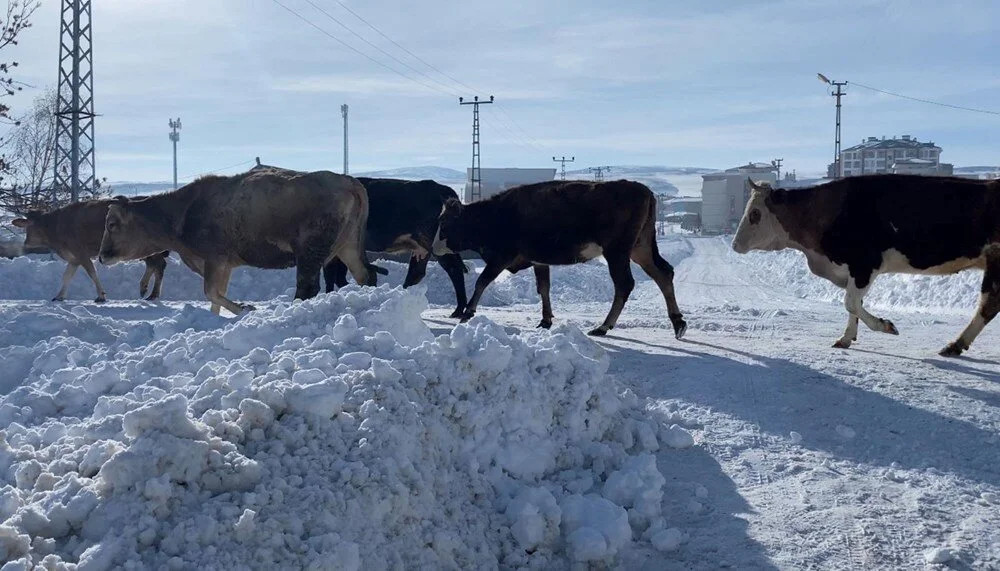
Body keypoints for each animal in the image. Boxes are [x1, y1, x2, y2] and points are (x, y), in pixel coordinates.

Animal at [11, 200, 171, 302]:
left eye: (28, 227)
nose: (26, 242)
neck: (54, 229)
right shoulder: (74, 258)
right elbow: (66, 276)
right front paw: (59, 296)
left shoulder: (80, 252)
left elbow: (92, 273)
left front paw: (101, 296)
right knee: (154, 264)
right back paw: (145, 289)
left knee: (159, 264)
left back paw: (152, 294)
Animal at [97, 168, 374, 316]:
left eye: (111, 224)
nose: (101, 256)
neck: (182, 214)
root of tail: (347, 180)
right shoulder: (225, 264)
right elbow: (216, 296)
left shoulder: (214, 258)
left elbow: (211, 292)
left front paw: (245, 309)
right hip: (348, 244)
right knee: (365, 274)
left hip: (310, 249)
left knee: (307, 287)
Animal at [324, 178, 472, 318]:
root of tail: (441, 188)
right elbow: (338, 276)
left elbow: (331, 275)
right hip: (422, 248)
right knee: (417, 272)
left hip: (437, 244)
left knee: (454, 270)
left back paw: (457, 310)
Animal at [430, 181, 688, 338]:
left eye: (444, 223)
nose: (432, 248)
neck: (494, 215)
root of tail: (642, 190)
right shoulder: (538, 259)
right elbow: (543, 288)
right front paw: (546, 320)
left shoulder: (503, 255)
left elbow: (482, 281)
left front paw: (468, 312)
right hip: (640, 248)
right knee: (663, 273)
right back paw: (678, 322)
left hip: (618, 251)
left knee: (624, 284)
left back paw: (604, 326)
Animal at [732, 173, 1000, 358]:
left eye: (755, 214)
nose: (735, 244)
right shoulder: (851, 270)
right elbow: (854, 305)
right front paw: (846, 337)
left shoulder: (864, 264)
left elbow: (850, 302)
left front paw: (886, 326)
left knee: (987, 304)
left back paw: (955, 344)